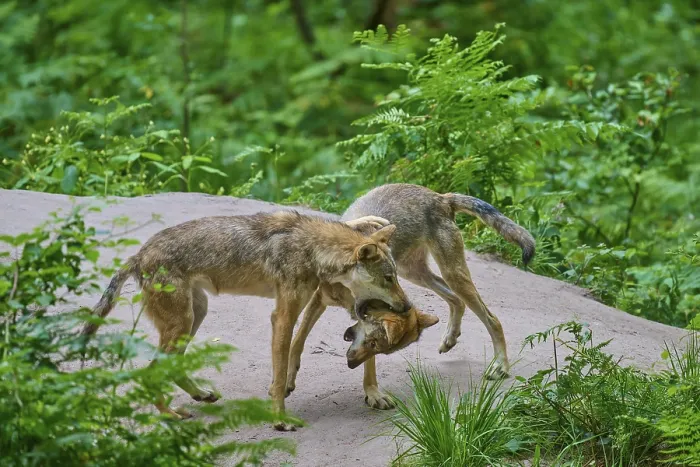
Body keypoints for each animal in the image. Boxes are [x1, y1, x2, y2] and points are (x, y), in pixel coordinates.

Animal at [81, 210, 416, 431]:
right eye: (388, 279)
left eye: (397, 277)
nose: (406, 306)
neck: (311, 249)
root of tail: (138, 255)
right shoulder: (282, 317)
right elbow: (280, 375)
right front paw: (280, 420)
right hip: (182, 323)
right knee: (152, 369)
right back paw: (171, 415)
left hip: (195, 315)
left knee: (171, 365)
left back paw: (199, 395)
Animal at [286, 183, 535, 408]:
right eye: (387, 279)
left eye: (378, 346)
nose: (406, 307)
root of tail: (441, 197)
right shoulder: (319, 300)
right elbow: (297, 341)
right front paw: (288, 378)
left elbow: (370, 364)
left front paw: (373, 393)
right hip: (418, 274)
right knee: (457, 301)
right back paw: (451, 338)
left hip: (446, 275)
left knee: (492, 319)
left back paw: (500, 366)